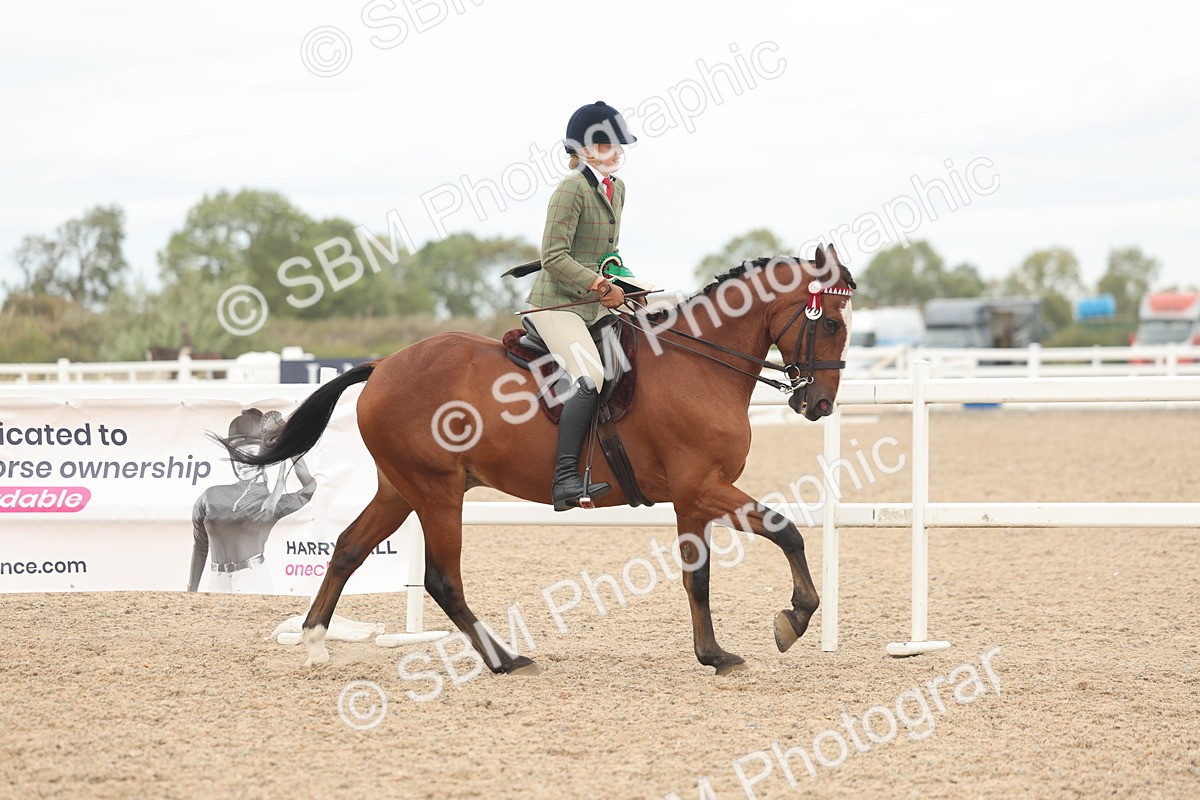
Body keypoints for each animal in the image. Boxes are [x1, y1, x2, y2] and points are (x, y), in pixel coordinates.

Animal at [219, 245, 856, 675]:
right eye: (830, 323)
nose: (819, 405)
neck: (697, 365)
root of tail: (383, 365)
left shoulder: (693, 497)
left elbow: (695, 577)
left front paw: (713, 654)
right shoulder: (703, 486)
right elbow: (786, 529)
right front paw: (794, 619)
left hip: (400, 489)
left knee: (350, 549)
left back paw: (314, 642)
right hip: (436, 492)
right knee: (442, 579)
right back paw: (505, 659)